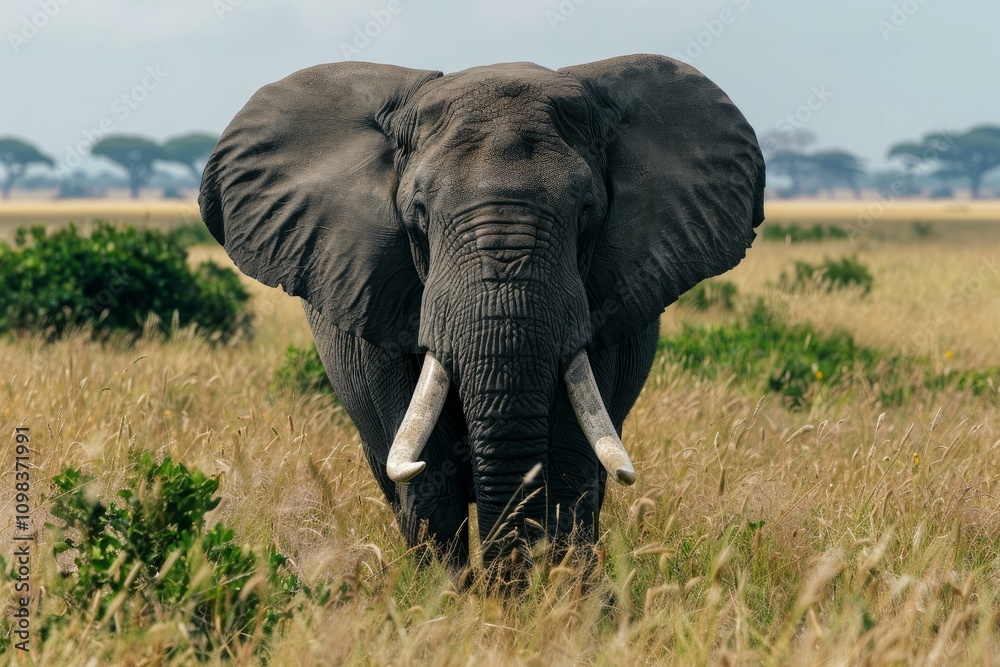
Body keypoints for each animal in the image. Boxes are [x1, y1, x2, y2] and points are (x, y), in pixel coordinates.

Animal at [199, 54, 765, 578]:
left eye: (587, 212)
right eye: (418, 215)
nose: (505, 593)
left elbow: (570, 462)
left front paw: (559, 600)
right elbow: (427, 474)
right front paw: (445, 601)